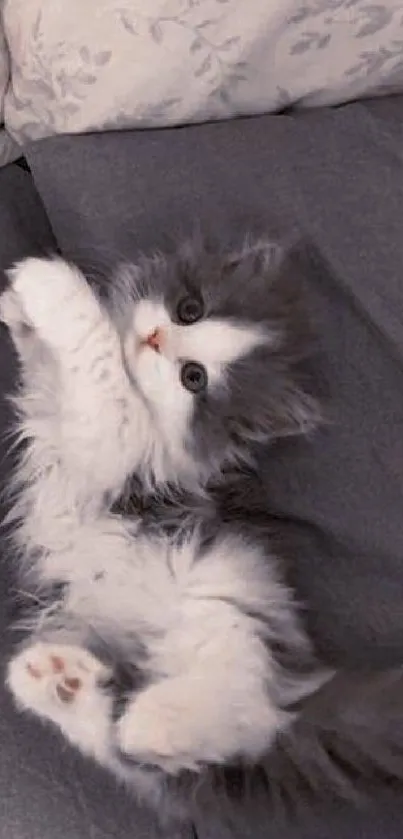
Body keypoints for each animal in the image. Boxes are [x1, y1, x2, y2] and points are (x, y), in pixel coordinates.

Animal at [2, 240, 403, 832]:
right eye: (188, 309)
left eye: (194, 378)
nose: (153, 338)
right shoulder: (59, 419)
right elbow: (48, 371)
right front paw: (18, 313)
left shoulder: (121, 447)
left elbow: (101, 369)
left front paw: (49, 285)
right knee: (136, 760)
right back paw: (59, 682)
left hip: (225, 601)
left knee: (248, 718)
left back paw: (152, 718)